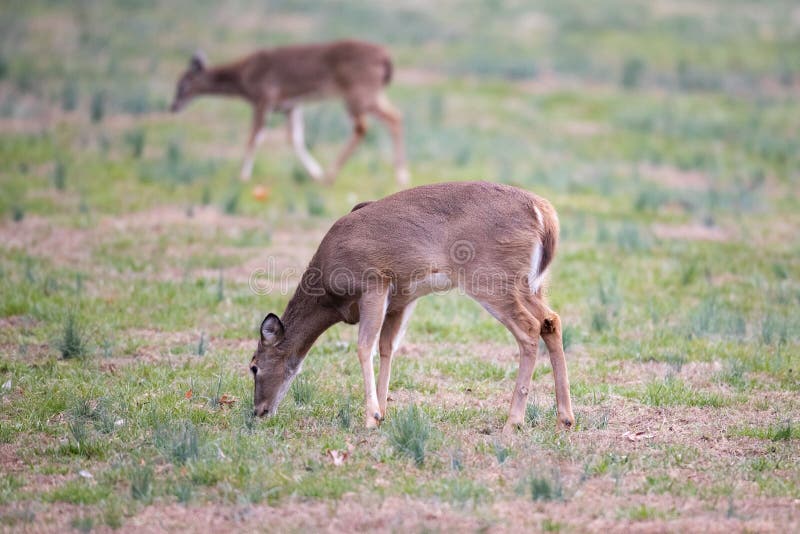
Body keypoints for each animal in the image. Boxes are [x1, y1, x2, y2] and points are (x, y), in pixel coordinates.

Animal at [170, 39, 410, 185]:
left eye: (182, 84)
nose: (172, 106)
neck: (243, 78)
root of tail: (386, 58)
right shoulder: (290, 105)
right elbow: (294, 138)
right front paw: (314, 173)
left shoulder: (264, 97)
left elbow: (254, 137)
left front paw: (242, 176)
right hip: (369, 93)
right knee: (394, 116)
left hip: (357, 93)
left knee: (371, 124)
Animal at [249, 181, 575, 434]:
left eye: (253, 366)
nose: (258, 411)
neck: (330, 295)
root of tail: (544, 214)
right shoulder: (402, 299)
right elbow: (387, 348)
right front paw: (382, 412)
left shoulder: (374, 282)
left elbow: (364, 345)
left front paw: (371, 417)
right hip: (530, 284)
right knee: (551, 320)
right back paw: (565, 419)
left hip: (490, 277)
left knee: (529, 328)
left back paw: (513, 422)